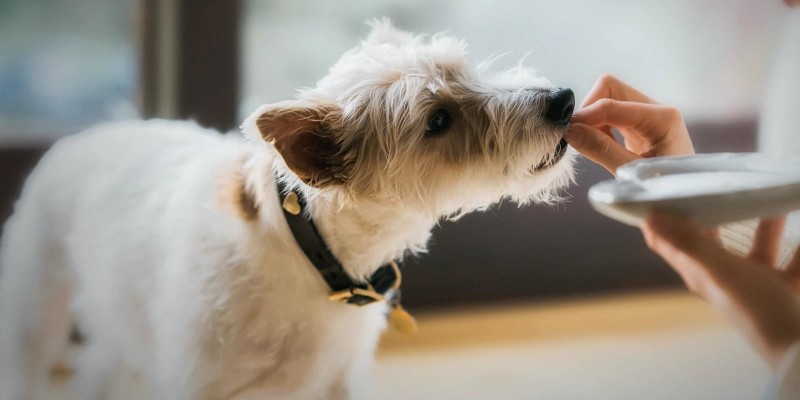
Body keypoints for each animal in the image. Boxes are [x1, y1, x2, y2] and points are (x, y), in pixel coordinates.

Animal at [0, 19, 576, 400]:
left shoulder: (340, 383)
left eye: (467, 68)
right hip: (34, 316)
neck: (315, 258)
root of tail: (85, 134)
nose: (564, 100)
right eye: (437, 120)